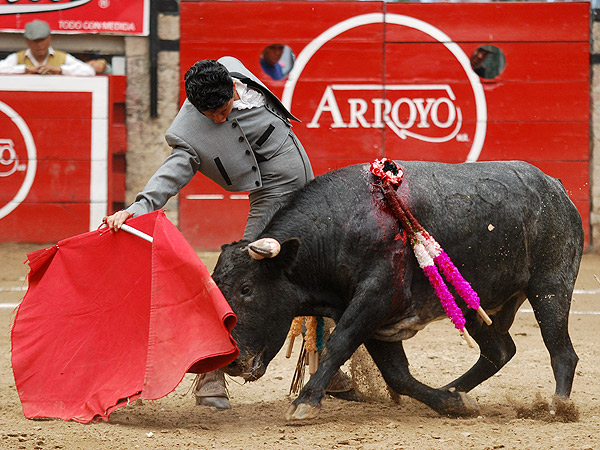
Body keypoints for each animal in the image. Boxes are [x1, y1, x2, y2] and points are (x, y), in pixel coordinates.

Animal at [213, 160, 584, 420]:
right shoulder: (374, 317)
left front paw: (305, 402)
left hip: (550, 287)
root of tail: (556, 187)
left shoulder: (375, 298)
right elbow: (397, 374)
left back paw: (559, 407)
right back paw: (455, 390)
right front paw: (451, 404)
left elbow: (339, 344)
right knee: (500, 351)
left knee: (562, 351)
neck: (338, 228)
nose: (233, 362)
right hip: (476, 306)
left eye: (247, 288)